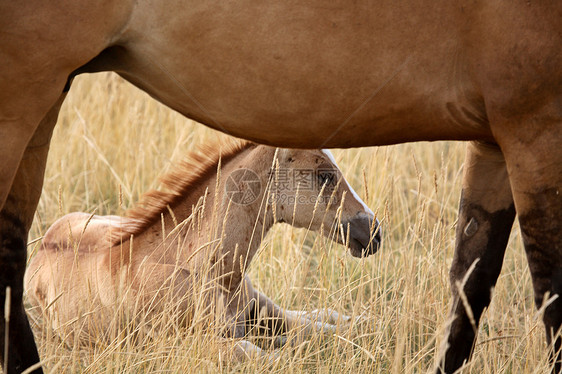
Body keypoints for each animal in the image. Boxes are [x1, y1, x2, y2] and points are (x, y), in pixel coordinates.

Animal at [24, 140, 378, 360]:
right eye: (325, 175)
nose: (374, 232)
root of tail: (42, 244)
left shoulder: (262, 313)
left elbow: (324, 329)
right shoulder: (179, 343)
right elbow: (262, 354)